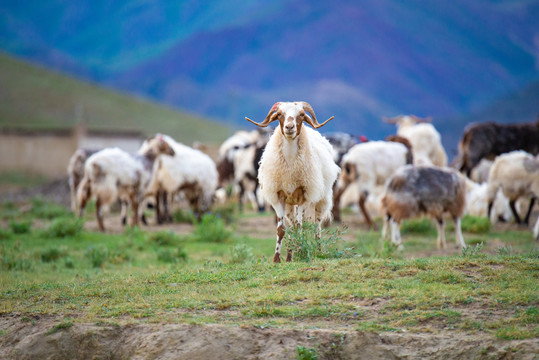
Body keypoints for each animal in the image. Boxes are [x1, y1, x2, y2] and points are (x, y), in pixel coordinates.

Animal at [247, 100, 340, 262]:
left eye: (301, 114)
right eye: (279, 114)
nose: (289, 127)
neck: (290, 166)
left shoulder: (303, 195)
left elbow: (299, 227)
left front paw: (301, 253)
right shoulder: (278, 196)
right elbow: (282, 229)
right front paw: (277, 259)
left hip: (321, 199)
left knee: (316, 226)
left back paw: (318, 251)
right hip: (290, 204)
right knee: (292, 226)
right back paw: (290, 255)